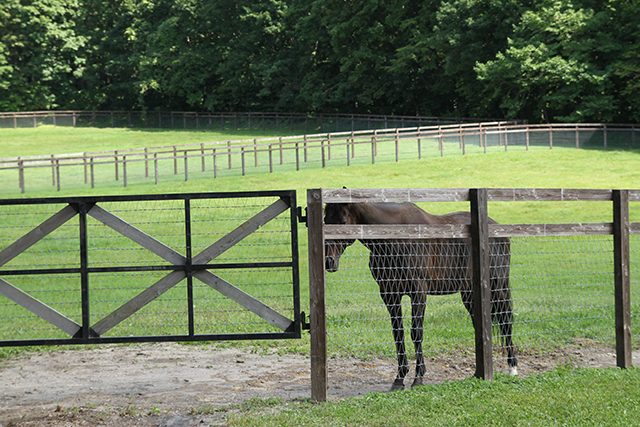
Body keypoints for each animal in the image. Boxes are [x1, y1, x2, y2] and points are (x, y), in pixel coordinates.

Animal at [322, 201, 516, 392]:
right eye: (325, 221)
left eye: (343, 222)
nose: (329, 261)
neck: (395, 239)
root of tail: (496, 228)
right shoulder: (389, 294)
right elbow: (398, 334)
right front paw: (399, 379)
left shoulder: (418, 292)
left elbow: (416, 332)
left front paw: (418, 378)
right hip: (469, 293)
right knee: (480, 325)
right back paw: (478, 372)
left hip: (498, 287)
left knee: (506, 322)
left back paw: (512, 368)